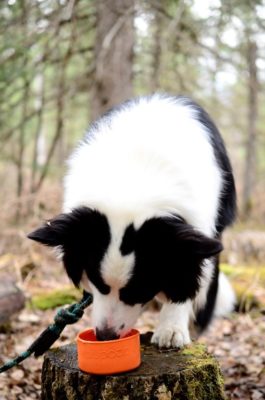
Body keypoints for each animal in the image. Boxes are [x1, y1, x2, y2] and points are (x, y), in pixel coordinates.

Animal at [28, 94, 235, 346]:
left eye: (138, 289)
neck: (132, 182)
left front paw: (172, 328)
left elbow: (186, 275)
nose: (105, 336)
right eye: (98, 282)